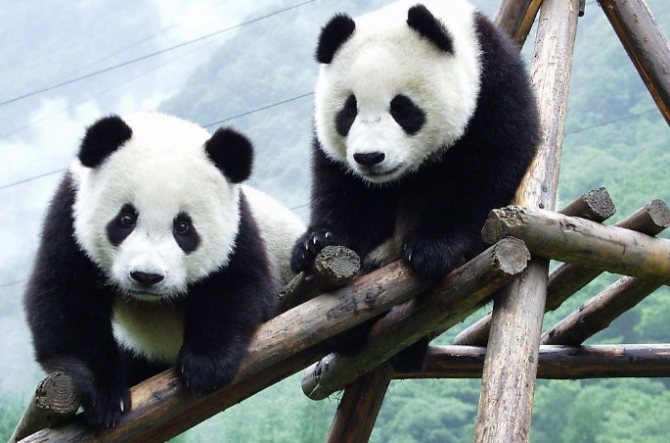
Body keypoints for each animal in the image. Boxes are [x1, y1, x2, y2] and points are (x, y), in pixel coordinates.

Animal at [24, 112, 304, 427]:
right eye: (126, 218)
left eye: (183, 227)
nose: (146, 276)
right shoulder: (68, 215)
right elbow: (66, 302)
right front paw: (105, 398)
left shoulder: (238, 226)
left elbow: (239, 285)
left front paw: (205, 366)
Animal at [291, 0, 540, 282]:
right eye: (350, 110)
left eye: (401, 108)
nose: (369, 157)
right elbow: (343, 187)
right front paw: (318, 240)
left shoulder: (494, 89)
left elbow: (483, 170)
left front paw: (432, 247)